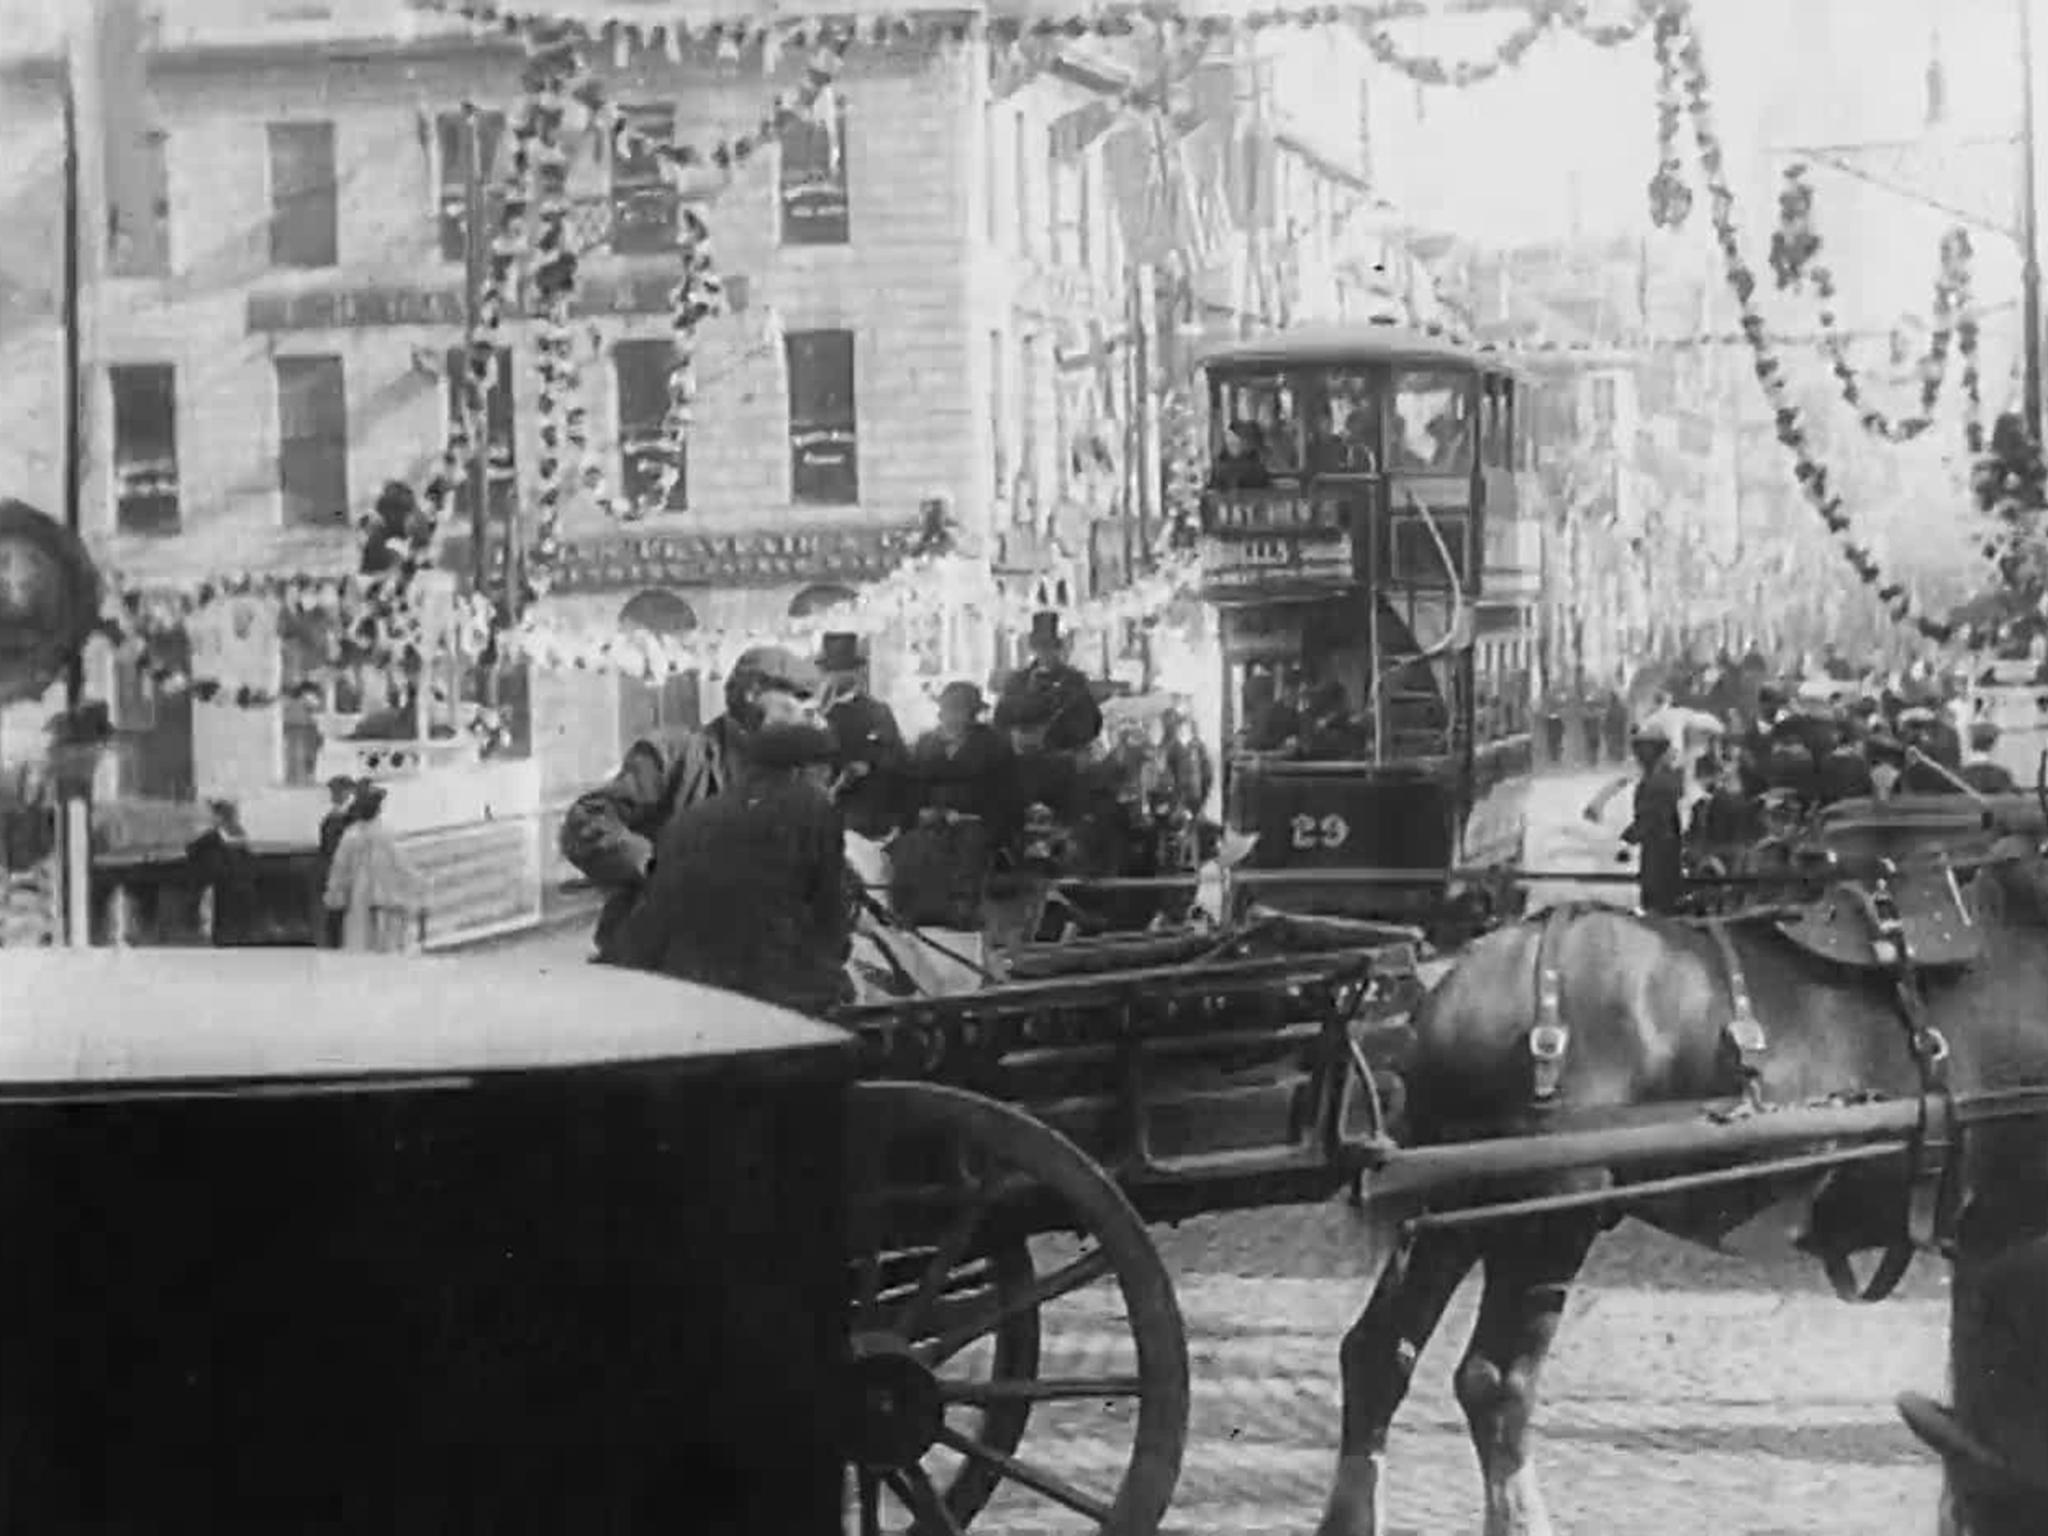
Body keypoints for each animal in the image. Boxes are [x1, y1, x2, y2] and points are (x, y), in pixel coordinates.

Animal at [1310, 794, 2048, 1536]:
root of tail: (1452, 996)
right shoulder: (2014, 1238)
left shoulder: (1990, 1239)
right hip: (1547, 1216)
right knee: (1495, 1380)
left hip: (1453, 1214)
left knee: (1379, 1354)